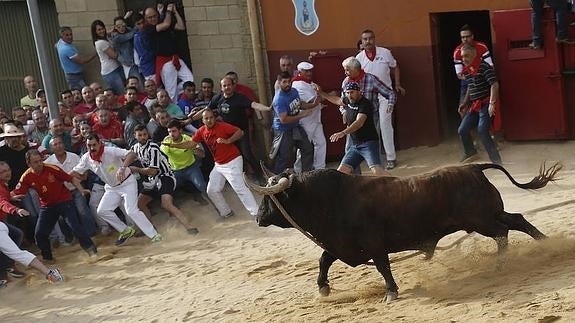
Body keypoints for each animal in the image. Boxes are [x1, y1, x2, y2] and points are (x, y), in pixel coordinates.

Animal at [246, 165, 564, 304]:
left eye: (269, 198)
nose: (258, 218)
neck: (329, 198)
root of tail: (474, 167)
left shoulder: (374, 245)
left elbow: (383, 268)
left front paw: (391, 293)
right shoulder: (341, 245)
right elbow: (324, 260)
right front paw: (323, 288)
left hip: (481, 220)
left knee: (502, 232)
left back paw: (501, 265)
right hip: (488, 215)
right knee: (517, 221)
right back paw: (546, 245)